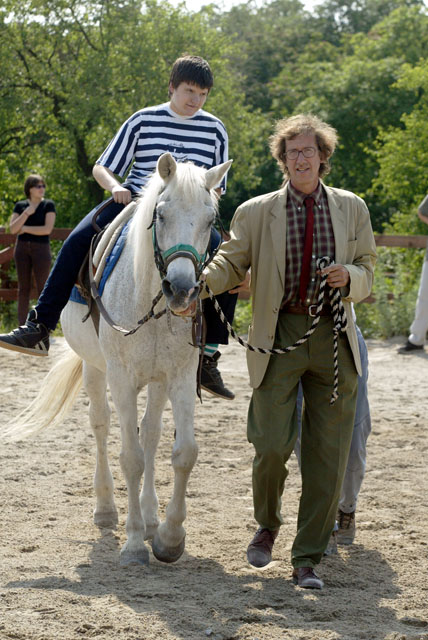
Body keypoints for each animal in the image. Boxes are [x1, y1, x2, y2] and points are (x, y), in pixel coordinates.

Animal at [7, 152, 232, 567]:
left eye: (211, 221)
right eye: (160, 213)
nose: (181, 290)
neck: (150, 303)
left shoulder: (178, 375)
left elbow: (183, 453)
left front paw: (169, 537)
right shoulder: (122, 378)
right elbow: (131, 457)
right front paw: (133, 544)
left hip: (156, 382)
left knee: (151, 434)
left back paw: (150, 518)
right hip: (96, 370)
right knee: (101, 425)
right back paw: (107, 510)